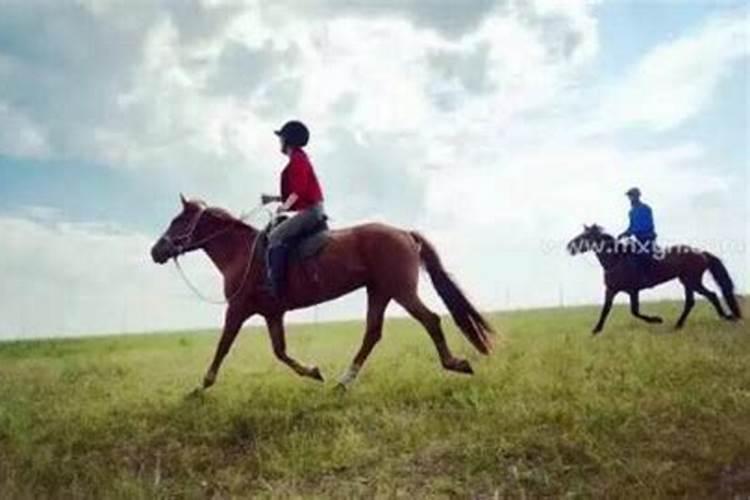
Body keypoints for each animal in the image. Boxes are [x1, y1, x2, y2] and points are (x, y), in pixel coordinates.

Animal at [151, 196, 496, 390]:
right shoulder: (272, 314)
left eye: (178, 220)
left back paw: (455, 363)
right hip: (379, 292)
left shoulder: (236, 310)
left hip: (400, 291)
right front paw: (314, 372)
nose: (156, 251)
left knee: (431, 320)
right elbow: (280, 352)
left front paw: (202, 386)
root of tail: (403, 233)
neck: (241, 253)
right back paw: (344, 381)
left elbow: (223, 347)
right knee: (373, 333)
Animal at [568, 225, 740, 334]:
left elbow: (634, 311)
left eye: (585, 236)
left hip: (692, 281)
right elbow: (605, 310)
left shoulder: (633, 290)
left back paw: (726, 316)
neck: (616, 259)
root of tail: (701, 253)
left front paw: (657, 320)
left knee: (711, 295)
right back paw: (679, 325)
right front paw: (596, 330)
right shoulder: (611, 290)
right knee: (692, 302)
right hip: (687, 281)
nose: (569, 247)